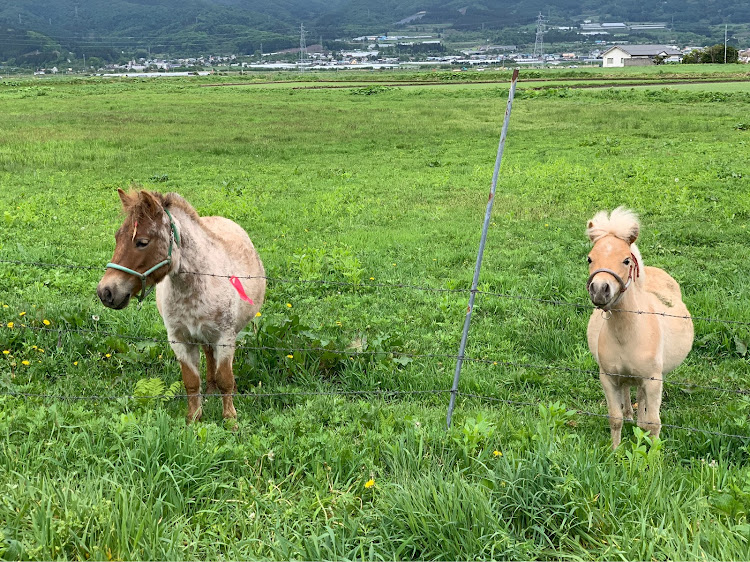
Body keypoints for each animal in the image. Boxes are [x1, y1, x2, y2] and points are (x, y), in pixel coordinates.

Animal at [98, 189, 266, 420]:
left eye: (142, 242)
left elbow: (225, 379)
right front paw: (194, 419)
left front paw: (230, 419)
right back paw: (210, 390)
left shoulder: (224, 338)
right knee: (208, 355)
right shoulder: (179, 340)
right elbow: (191, 382)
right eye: (117, 237)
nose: (105, 292)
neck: (196, 287)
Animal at [588, 206, 692, 446]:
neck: (627, 333)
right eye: (589, 259)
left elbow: (653, 423)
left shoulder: (653, 380)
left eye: (626, 260)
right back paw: (630, 416)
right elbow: (615, 418)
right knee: (628, 389)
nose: (599, 290)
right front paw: (615, 450)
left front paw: (652, 452)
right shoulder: (607, 378)